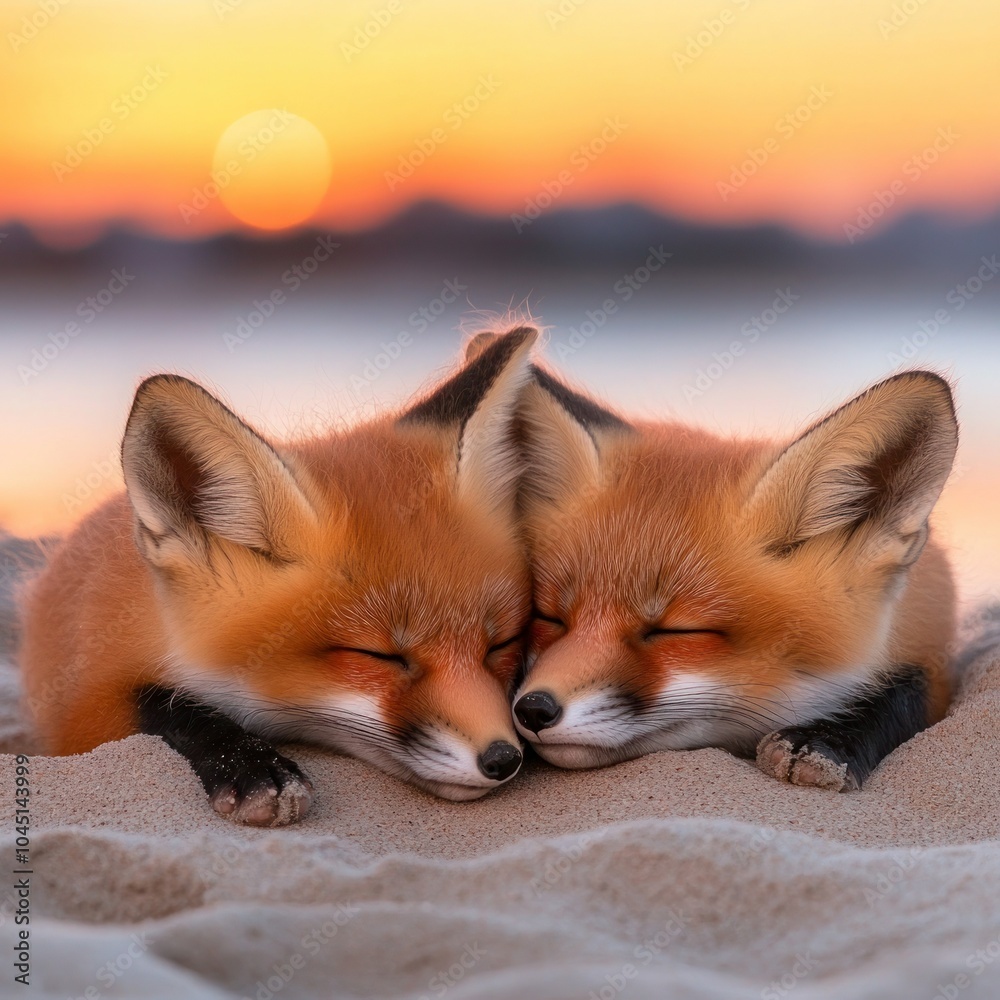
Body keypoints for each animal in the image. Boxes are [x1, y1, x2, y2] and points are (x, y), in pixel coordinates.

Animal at [19, 328, 539, 826]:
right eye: (378, 655)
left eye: (502, 643)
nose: (503, 758)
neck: (149, 617)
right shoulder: (83, 707)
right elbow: (166, 705)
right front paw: (251, 766)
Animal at [510, 358, 959, 791]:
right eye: (549, 617)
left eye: (676, 632)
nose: (533, 709)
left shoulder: (933, 657)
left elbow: (905, 694)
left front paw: (826, 741)